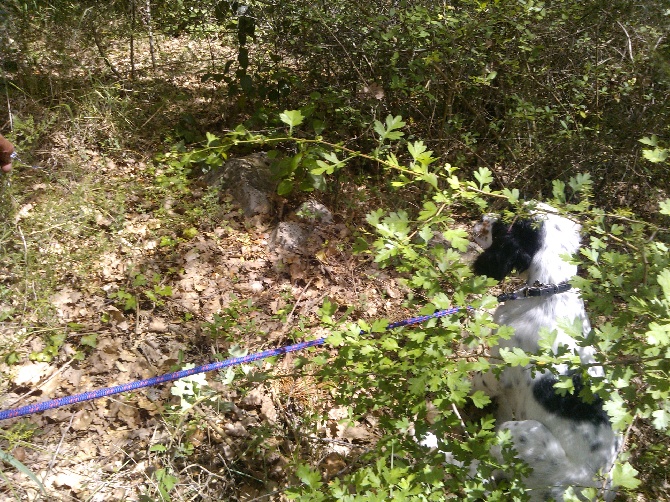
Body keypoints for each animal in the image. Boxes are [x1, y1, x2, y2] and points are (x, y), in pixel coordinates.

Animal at [470, 205, 624, 502]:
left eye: (506, 223)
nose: (483, 217)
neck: (548, 292)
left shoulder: (498, 369)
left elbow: (472, 382)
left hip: (524, 436)